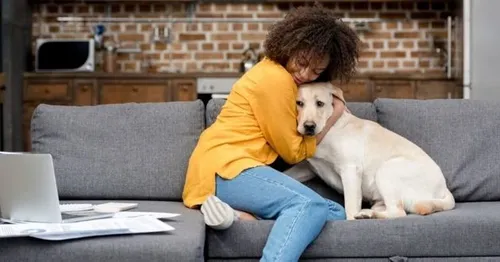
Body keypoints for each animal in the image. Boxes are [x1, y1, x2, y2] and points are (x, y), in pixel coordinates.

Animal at [294, 81, 456, 219]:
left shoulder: (350, 169)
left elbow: (350, 209)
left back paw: (367, 215)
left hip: (387, 169)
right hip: (380, 197)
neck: (328, 127)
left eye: (320, 104)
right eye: (299, 103)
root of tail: (444, 189)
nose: (309, 126)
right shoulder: (307, 167)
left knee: (398, 212)